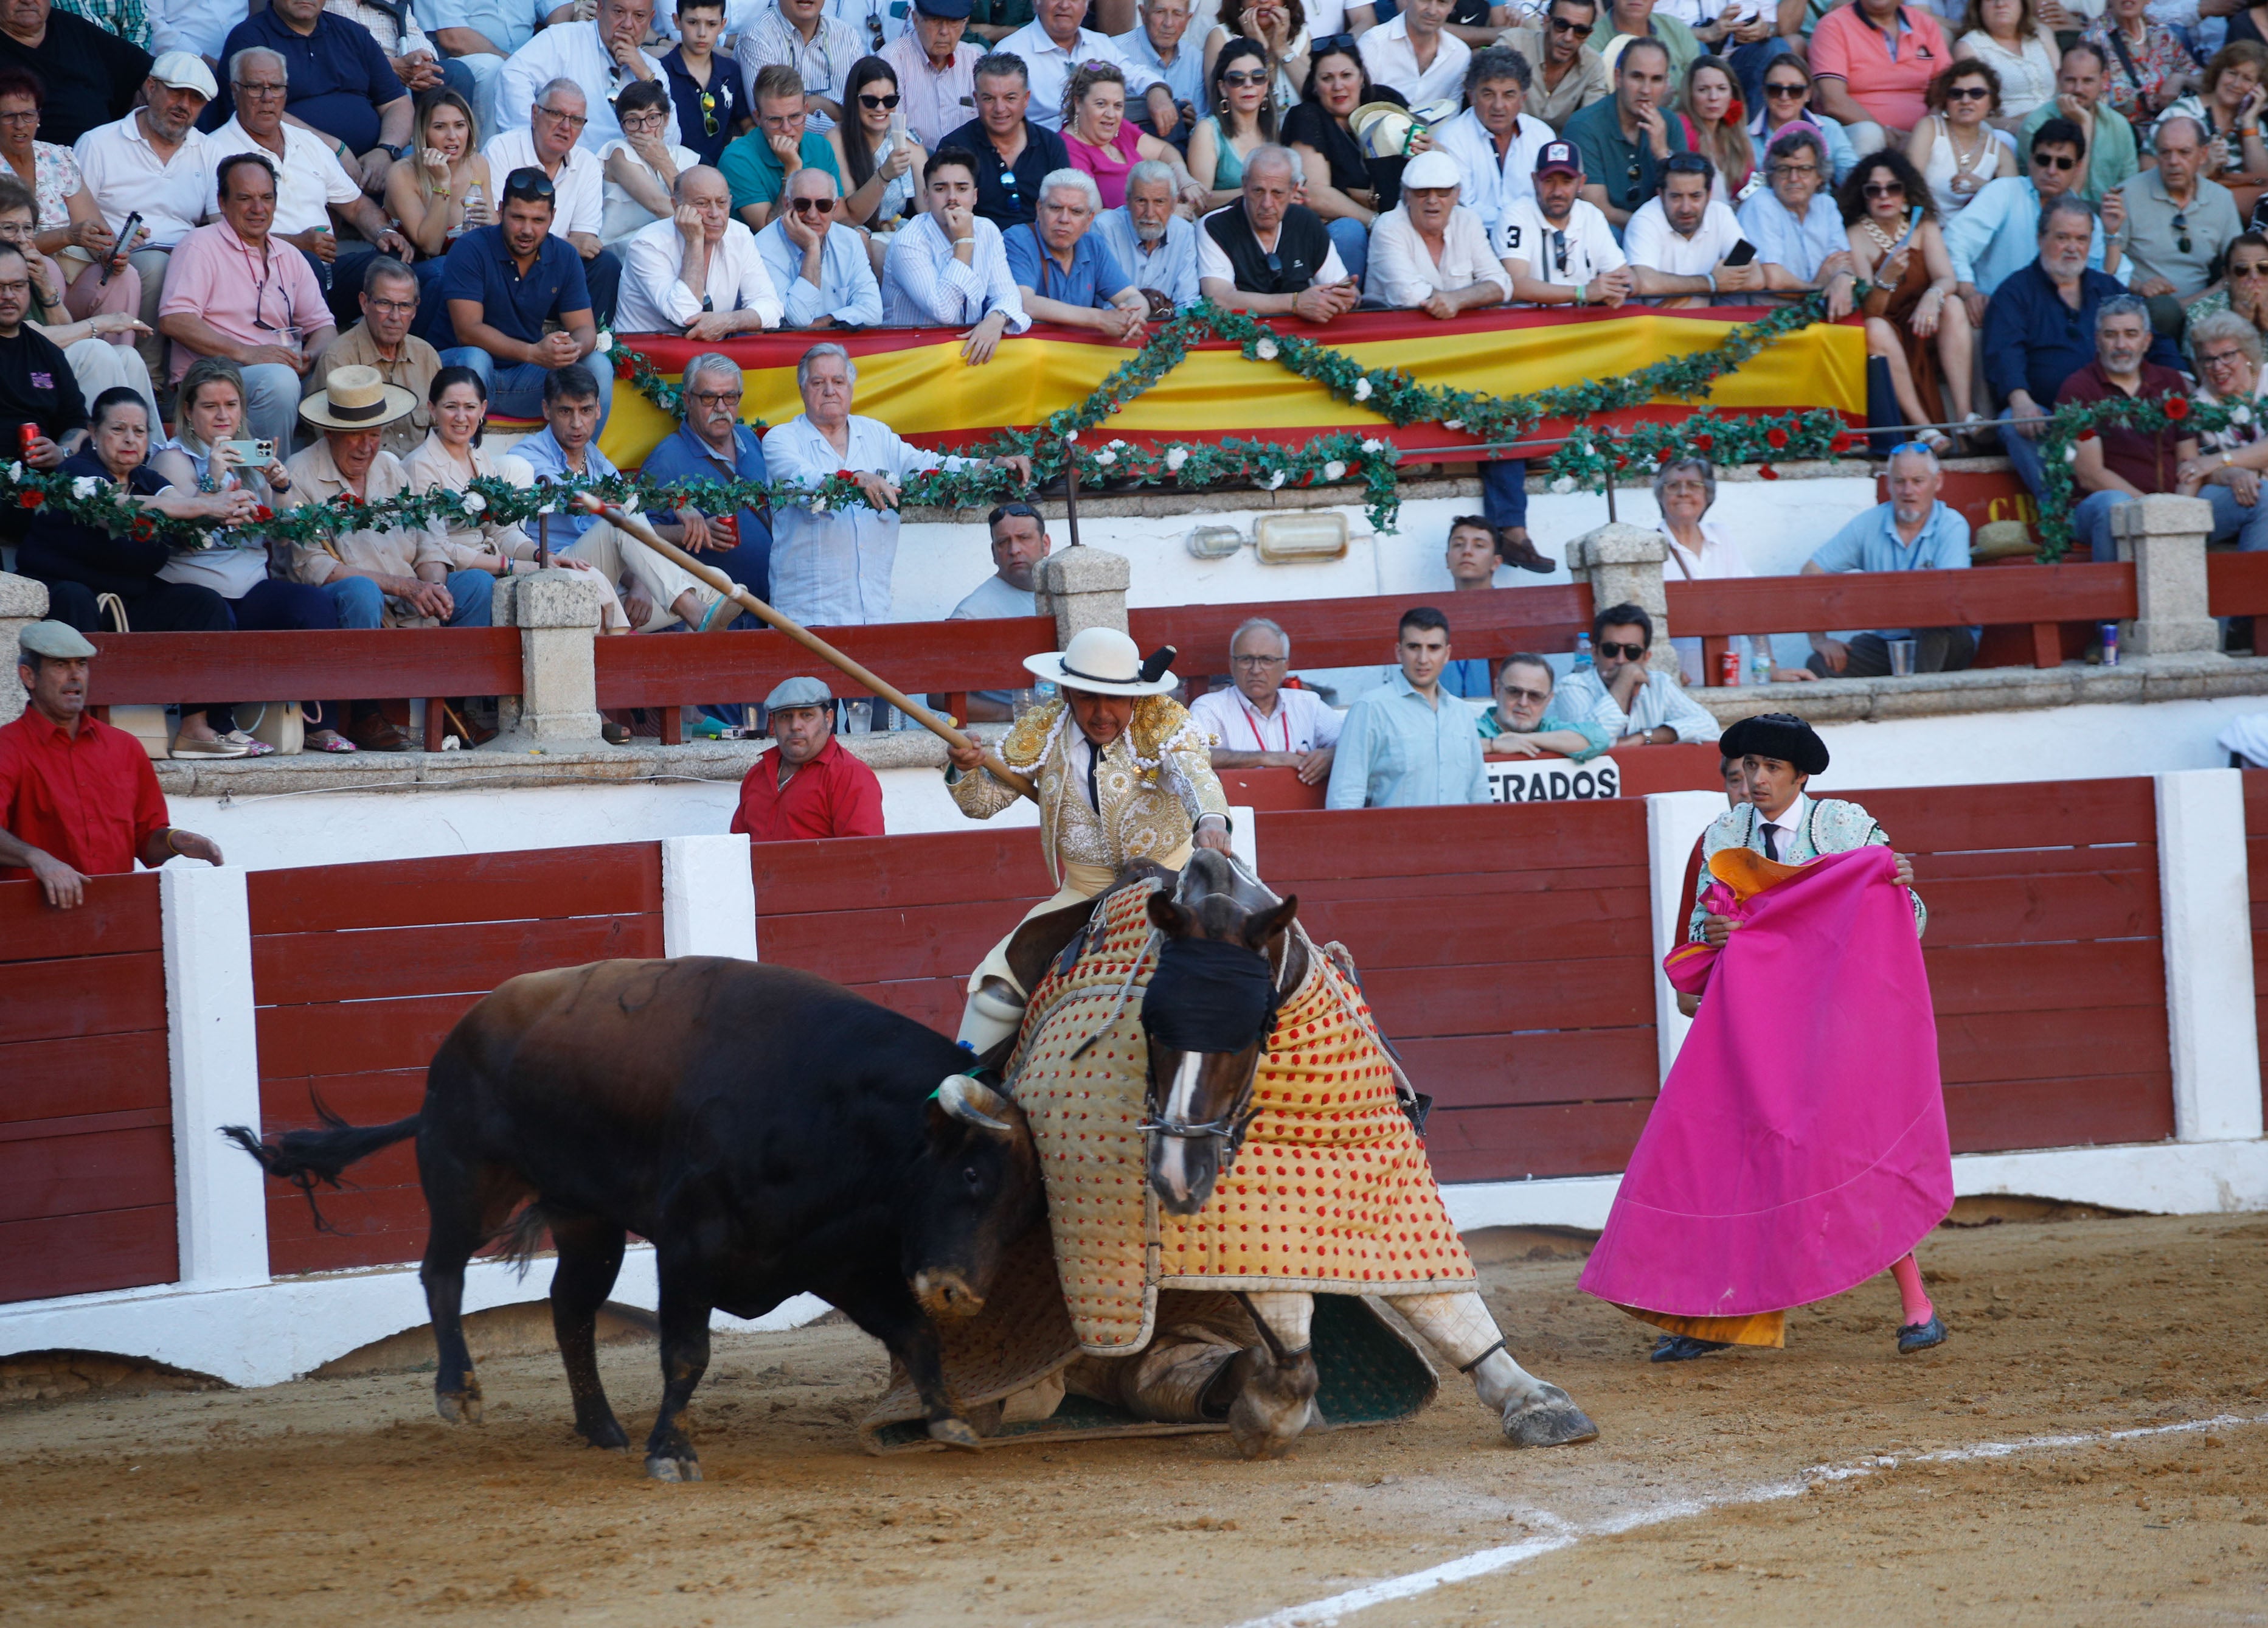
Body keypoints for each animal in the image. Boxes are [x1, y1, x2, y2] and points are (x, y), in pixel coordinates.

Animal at [230, 956, 1043, 1478]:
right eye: (971, 1174)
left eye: (1022, 1213)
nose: (958, 1291)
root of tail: (462, 1033)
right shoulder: (691, 1247)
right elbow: (686, 1351)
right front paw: (672, 1452)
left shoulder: (832, 1260)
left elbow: (912, 1334)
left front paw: (948, 1419)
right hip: (468, 1179)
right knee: (442, 1274)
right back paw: (459, 1394)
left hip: (586, 1221)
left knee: (568, 1307)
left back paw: (600, 1428)